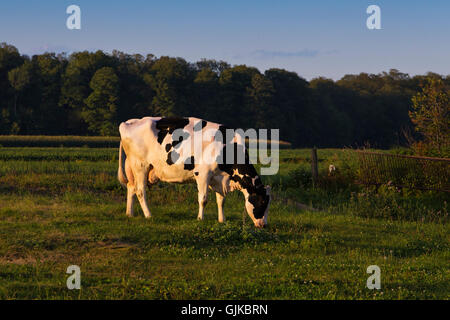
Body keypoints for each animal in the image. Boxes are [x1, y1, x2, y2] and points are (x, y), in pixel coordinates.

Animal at [117, 116, 270, 229]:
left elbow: (221, 200)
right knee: (140, 190)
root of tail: (130, 121)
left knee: (131, 187)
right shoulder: (203, 174)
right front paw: (200, 218)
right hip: (140, 165)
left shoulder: (219, 178)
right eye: (262, 201)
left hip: (133, 167)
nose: (264, 225)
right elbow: (203, 199)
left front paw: (222, 220)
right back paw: (148, 215)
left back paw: (129, 213)